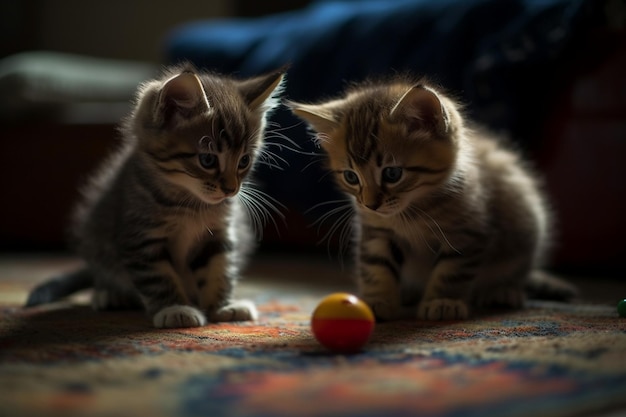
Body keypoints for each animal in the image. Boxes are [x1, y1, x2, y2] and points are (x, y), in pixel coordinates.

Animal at [26, 63, 286, 326]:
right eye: (208, 160)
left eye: (244, 161)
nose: (231, 189)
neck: (190, 203)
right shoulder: (141, 238)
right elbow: (159, 278)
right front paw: (175, 309)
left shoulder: (218, 234)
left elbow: (219, 268)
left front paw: (222, 306)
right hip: (95, 234)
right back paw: (110, 294)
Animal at [288, 76, 576, 320]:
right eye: (351, 177)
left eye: (392, 173)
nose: (370, 204)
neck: (412, 210)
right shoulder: (376, 231)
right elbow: (376, 265)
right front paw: (377, 299)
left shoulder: (467, 233)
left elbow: (452, 271)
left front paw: (443, 302)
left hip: (525, 218)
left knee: (516, 268)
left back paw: (502, 290)